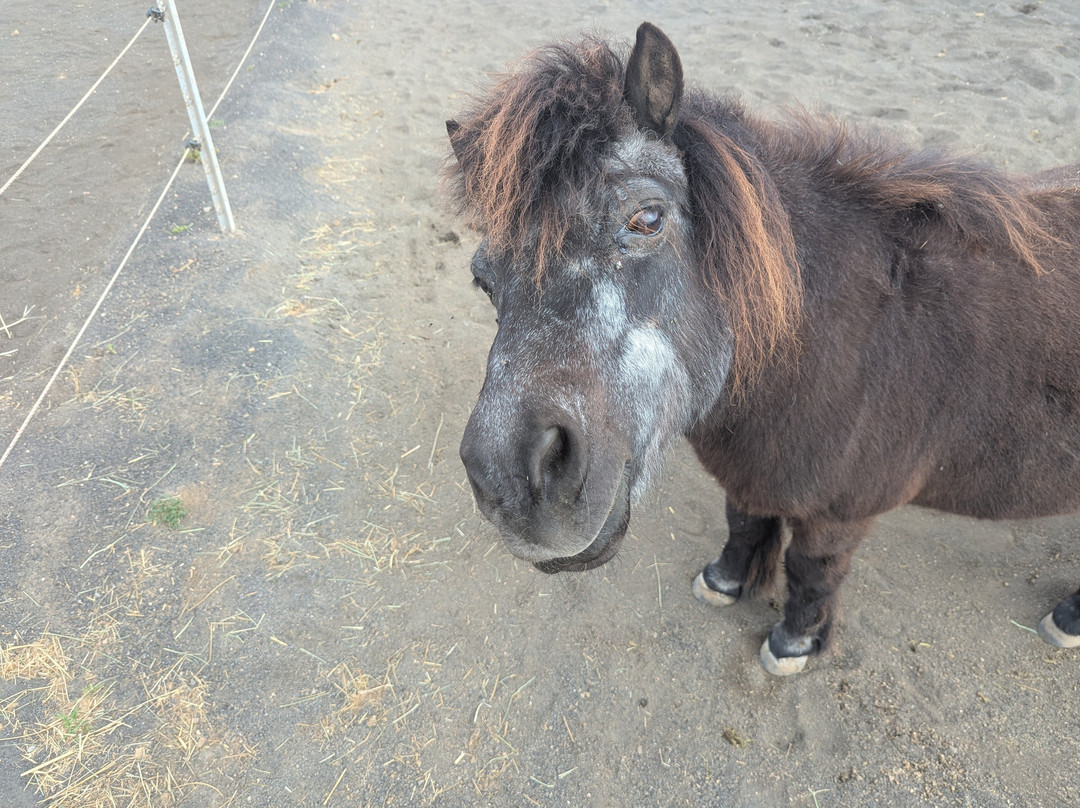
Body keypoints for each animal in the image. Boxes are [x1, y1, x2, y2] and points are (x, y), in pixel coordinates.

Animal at [444, 22, 1080, 675]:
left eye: (647, 219)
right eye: (481, 277)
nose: (513, 487)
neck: (842, 341)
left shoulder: (838, 514)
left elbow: (810, 571)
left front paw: (793, 642)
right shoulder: (751, 475)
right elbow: (745, 524)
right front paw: (724, 582)